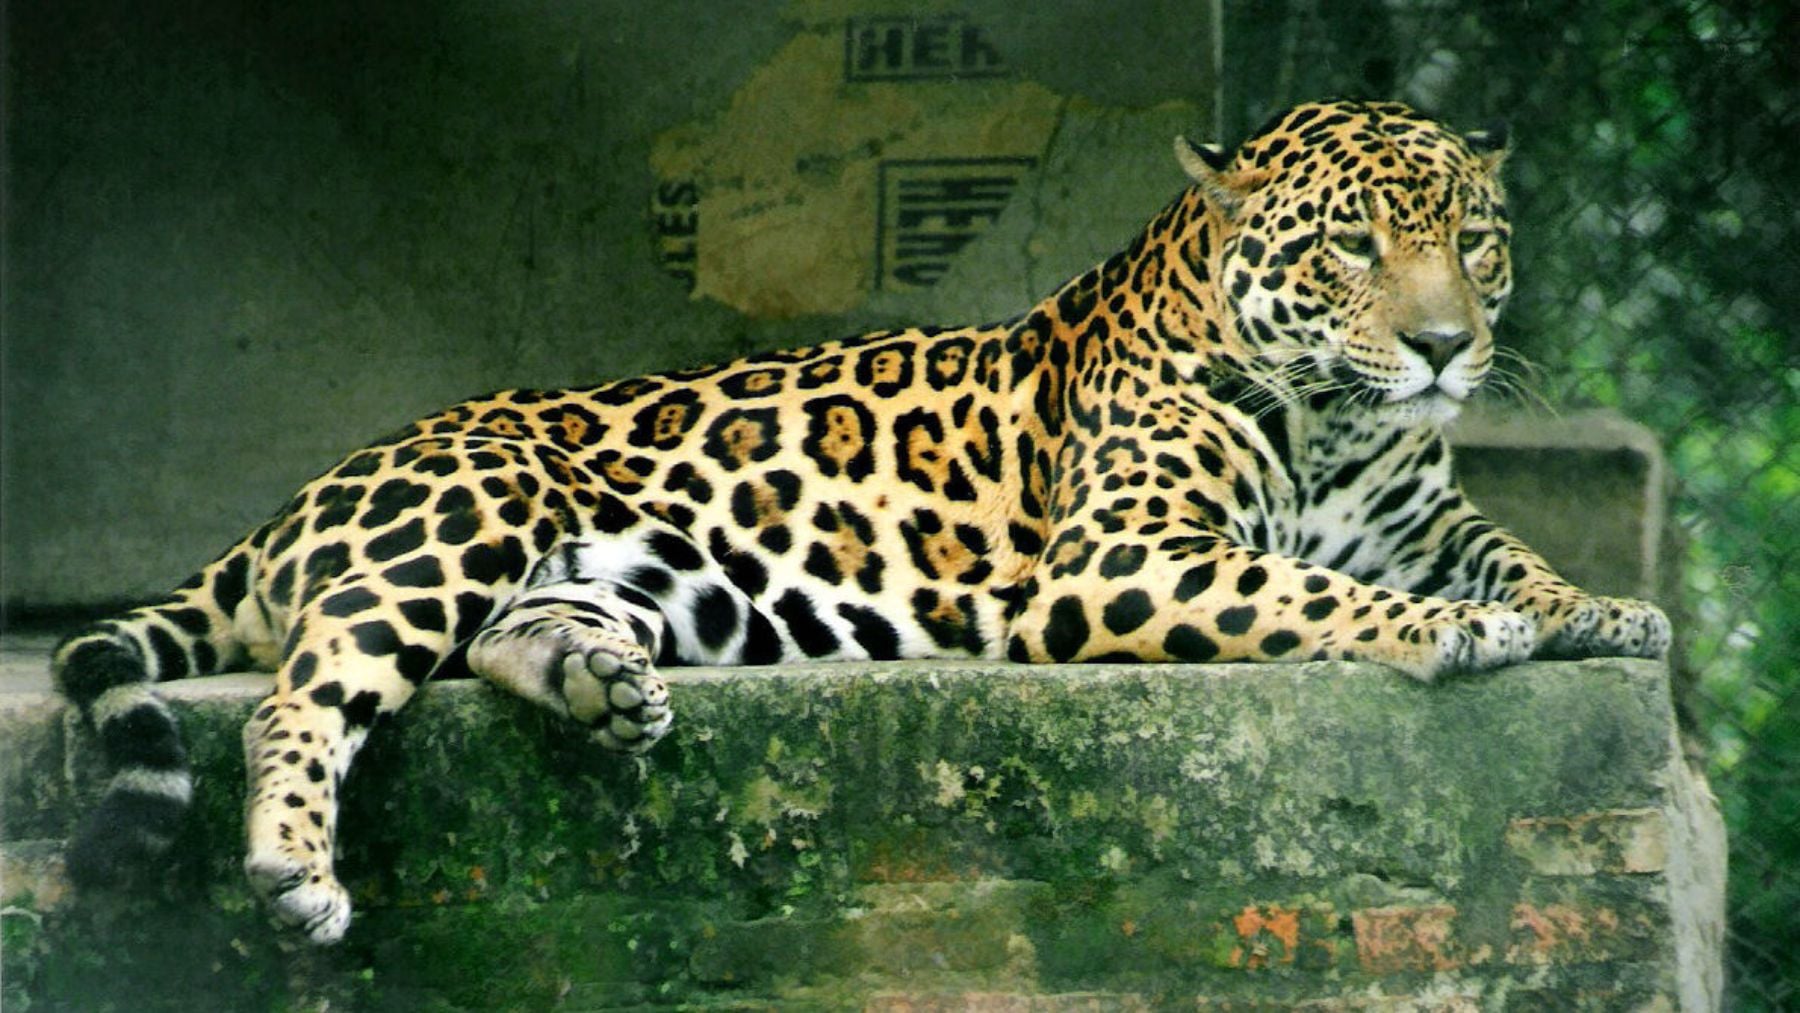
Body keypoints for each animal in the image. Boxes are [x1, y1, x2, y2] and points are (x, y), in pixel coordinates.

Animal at [52, 99, 1670, 945]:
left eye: (1474, 241)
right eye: (1350, 247)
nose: (1449, 348)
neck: (1336, 421)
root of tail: (306, 494)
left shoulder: (1416, 508)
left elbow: (1509, 547)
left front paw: (1602, 607)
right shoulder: (1119, 562)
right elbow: (1311, 592)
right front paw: (1458, 629)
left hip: (640, 575)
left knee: (512, 637)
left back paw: (601, 686)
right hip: (467, 510)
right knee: (302, 692)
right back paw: (293, 867)